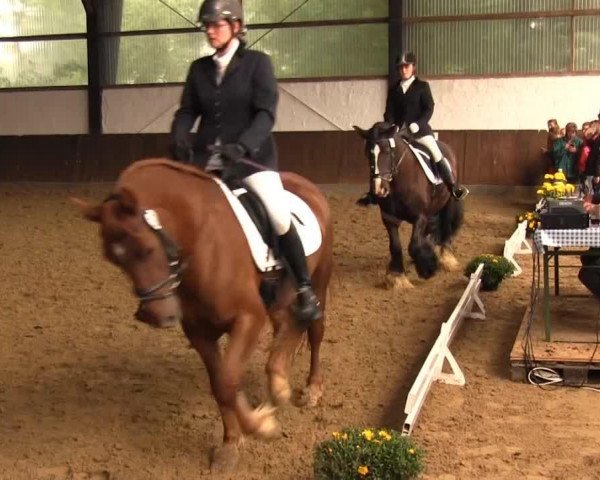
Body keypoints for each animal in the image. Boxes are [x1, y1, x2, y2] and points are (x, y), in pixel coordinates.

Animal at [74, 160, 332, 472]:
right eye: (113, 259)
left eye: (147, 248)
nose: (154, 316)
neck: (201, 240)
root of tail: (305, 184)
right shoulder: (199, 333)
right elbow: (220, 386)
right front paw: (231, 445)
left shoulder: (249, 317)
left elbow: (229, 381)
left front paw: (262, 426)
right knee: (287, 325)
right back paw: (279, 381)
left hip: (319, 277)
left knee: (314, 328)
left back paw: (312, 389)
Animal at [354, 123, 466, 288]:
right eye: (368, 153)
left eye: (387, 151)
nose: (379, 189)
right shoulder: (389, 218)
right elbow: (395, 246)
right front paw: (397, 276)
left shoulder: (420, 216)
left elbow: (413, 245)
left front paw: (428, 268)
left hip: (449, 202)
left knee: (446, 228)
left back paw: (447, 260)